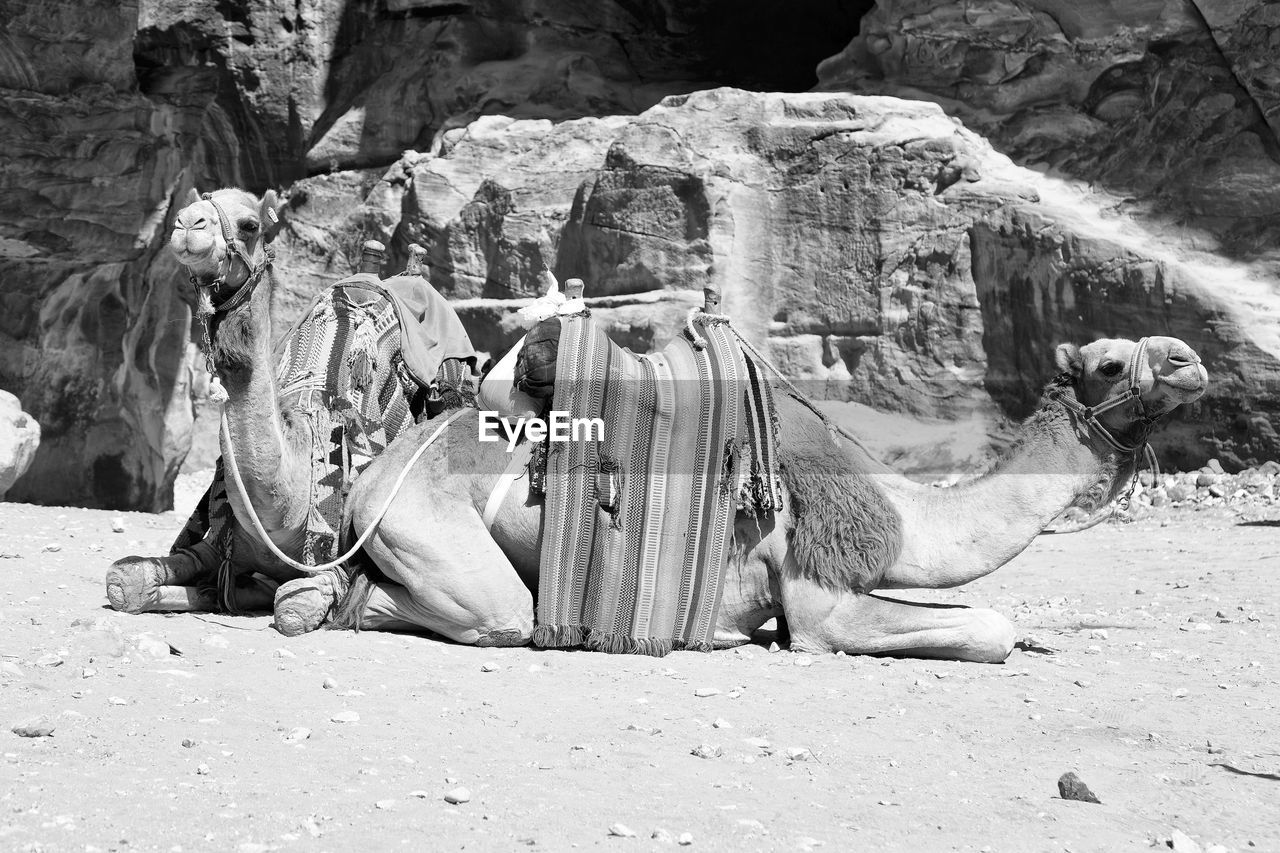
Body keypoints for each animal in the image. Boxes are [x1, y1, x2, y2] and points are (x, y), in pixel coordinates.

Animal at [104, 188, 476, 625]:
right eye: (186, 210)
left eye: (250, 225)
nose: (187, 223)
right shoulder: (221, 545)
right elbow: (125, 579)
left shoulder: (334, 558)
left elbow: (292, 606)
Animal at [275, 327, 1203, 660]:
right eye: (1110, 363)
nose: (1190, 359)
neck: (902, 509)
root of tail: (380, 467)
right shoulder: (823, 601)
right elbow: (990, 627)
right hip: (429, 526)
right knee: (484, 612)